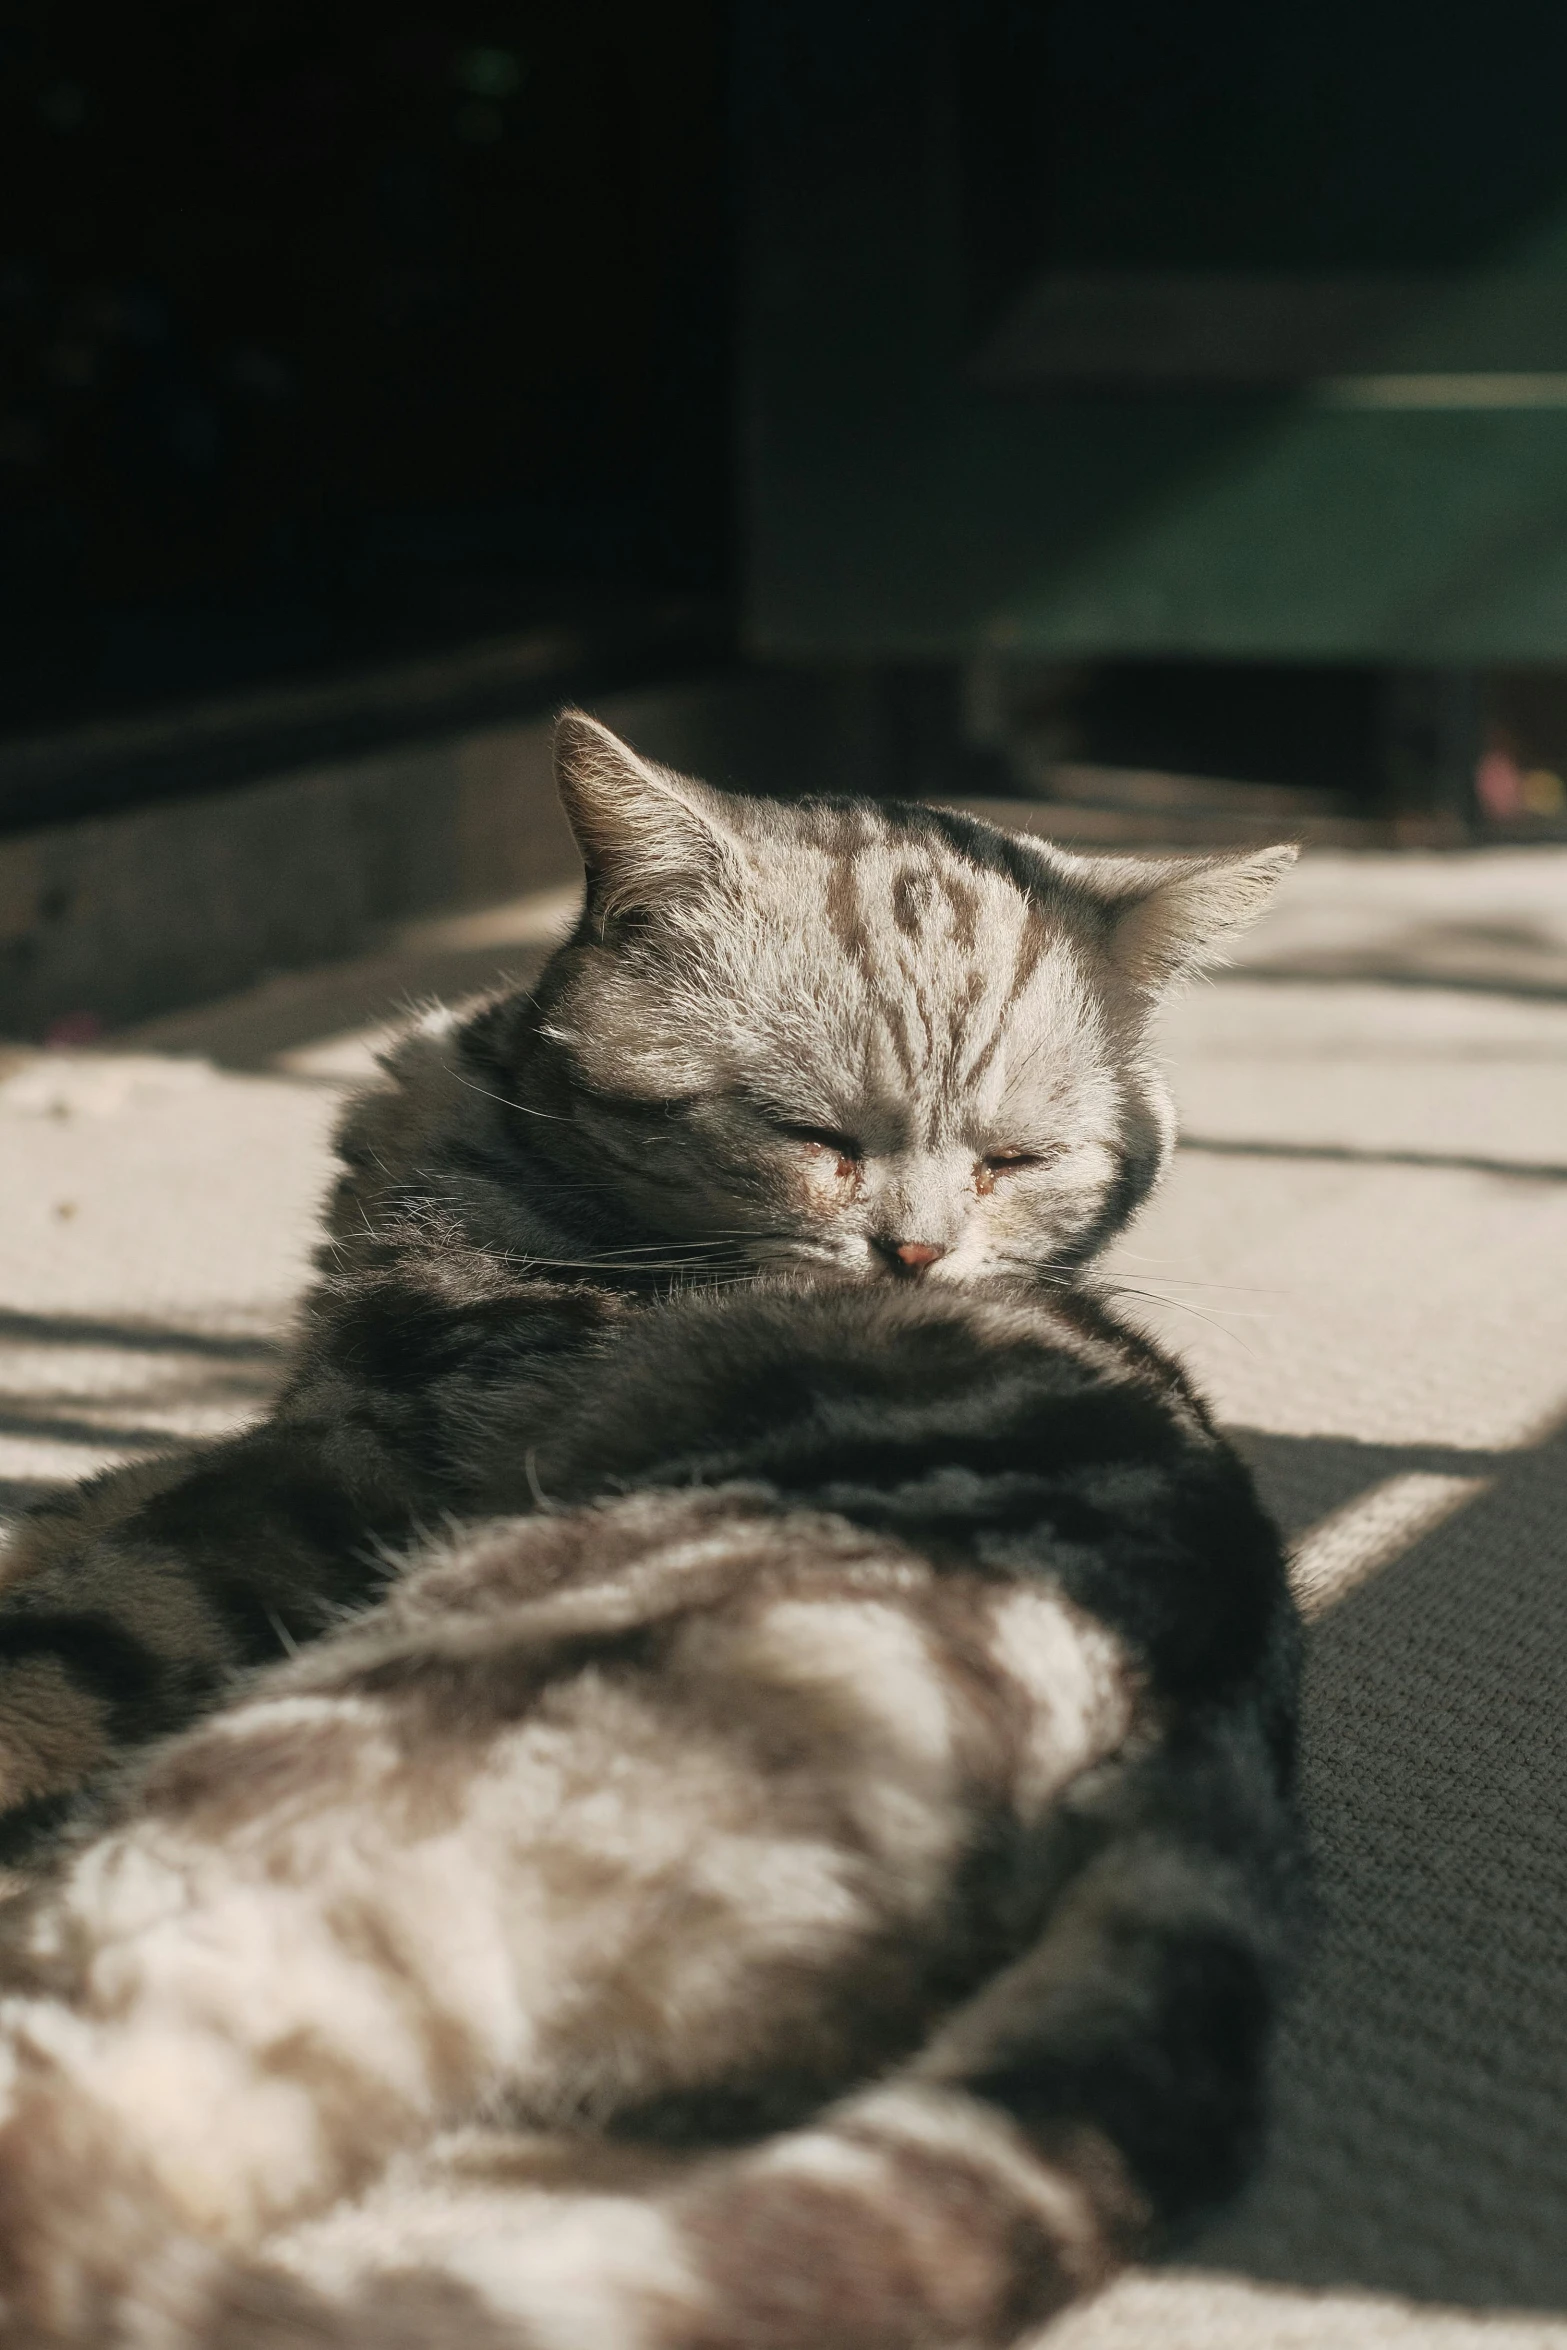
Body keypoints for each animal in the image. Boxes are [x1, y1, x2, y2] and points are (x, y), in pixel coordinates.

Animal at [0, 714, 1296, 1851]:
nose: (918, 1255)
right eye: (811, 1134)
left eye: (1013, 1162)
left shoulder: (347, 1464)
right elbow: (81, 1502)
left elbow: (77, 1631)